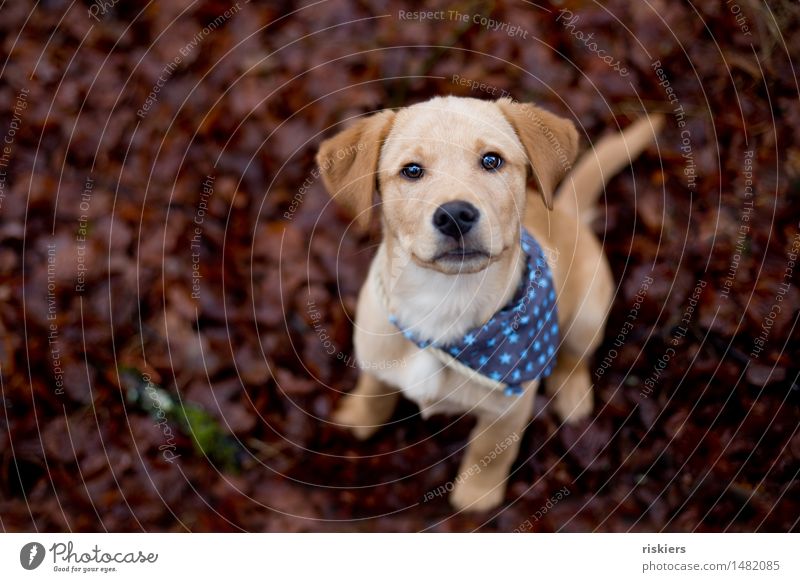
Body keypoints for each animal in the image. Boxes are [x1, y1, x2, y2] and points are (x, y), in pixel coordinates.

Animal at [316, 94, 660, 512]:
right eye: (411, 170)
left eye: (491, 160)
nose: (455, 215)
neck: (444, 304)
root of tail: (566, 213)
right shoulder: (375, 352)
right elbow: (373, 391)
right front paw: (357, 419)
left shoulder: (508, 411)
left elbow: (488, 452)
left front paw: (476, 498)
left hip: (588, 315)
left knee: (574, 358)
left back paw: (573, 399)